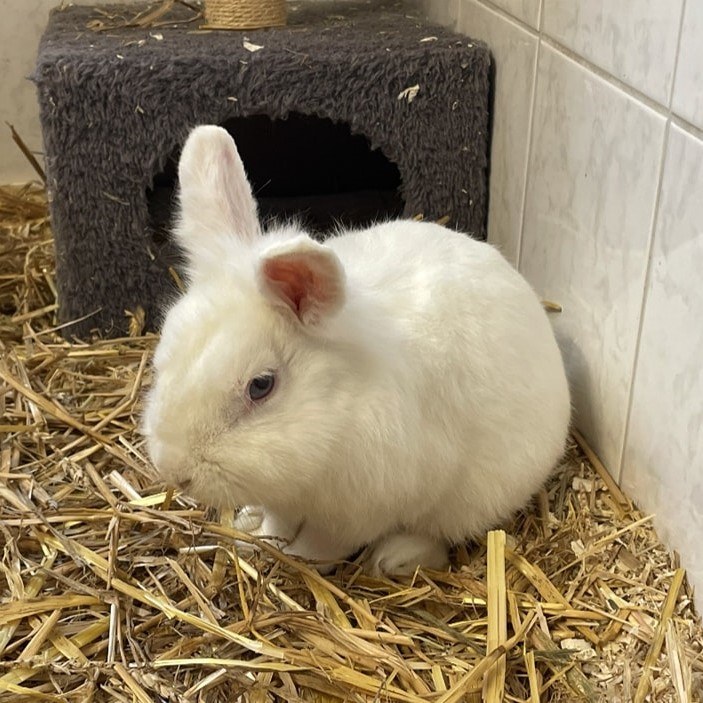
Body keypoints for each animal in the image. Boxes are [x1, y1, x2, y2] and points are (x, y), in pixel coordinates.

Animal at [142, 124, 571, 576]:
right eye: (163, 358)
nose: (173, 469)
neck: (339, 413)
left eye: (261, 386)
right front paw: (255, 538)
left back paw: (395, 558)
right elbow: (278, 522)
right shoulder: (286, 500)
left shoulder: (356, 515)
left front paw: (294, 557)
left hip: (475, 499)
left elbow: (321, 546)